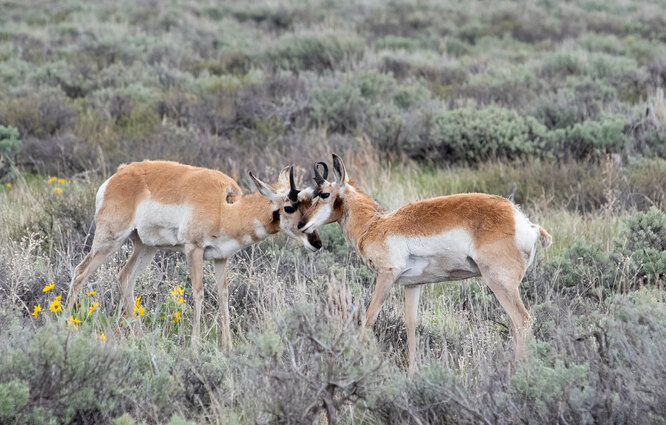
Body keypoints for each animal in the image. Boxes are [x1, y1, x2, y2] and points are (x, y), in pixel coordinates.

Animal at [66, 161, 320, 346]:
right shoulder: (193, 250)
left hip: (145, 247)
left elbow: (223, 294)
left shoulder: (221, 258)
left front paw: (228, 345)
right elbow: (198, 292)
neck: (225, 209)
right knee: (80, 273)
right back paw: (65, 324)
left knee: (124, 278)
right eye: (289, 207)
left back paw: (140, 335)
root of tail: (116, 177)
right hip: (109, 241)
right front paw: (195, 345)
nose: (316, 242)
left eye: (310, 205)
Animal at [298, 155, 548, 368]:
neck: (375, 225)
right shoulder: (413, 285)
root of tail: (524, 222)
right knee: (515, 325)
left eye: (324, 194)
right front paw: (412, 371)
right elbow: (411, 324)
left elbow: (369, 318)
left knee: (522, 321)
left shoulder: (386, 276)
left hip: (499, 283)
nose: (301, 225)